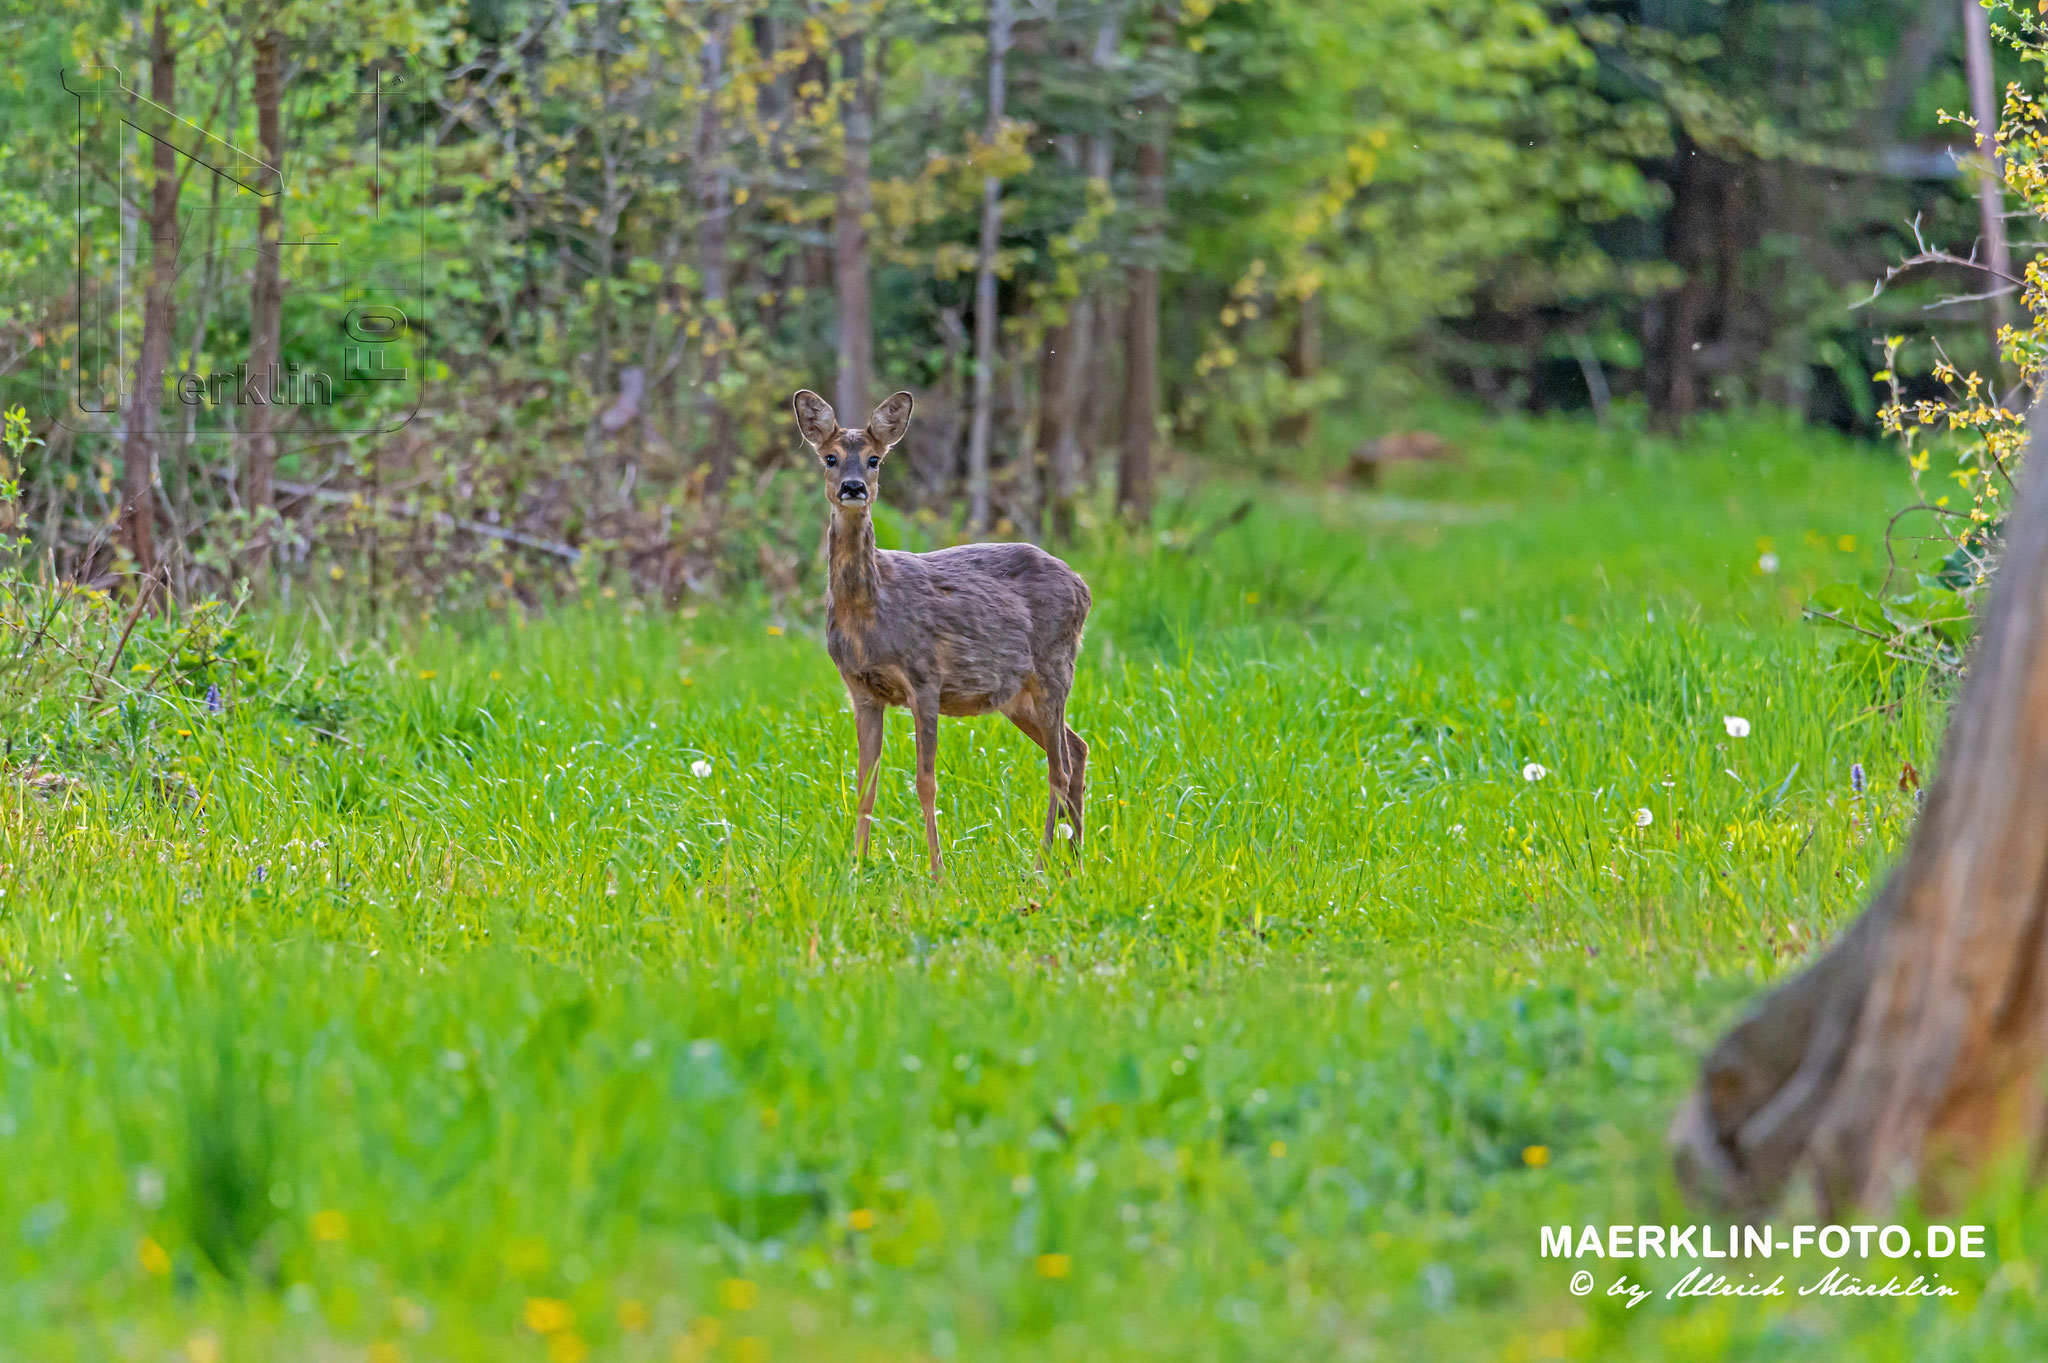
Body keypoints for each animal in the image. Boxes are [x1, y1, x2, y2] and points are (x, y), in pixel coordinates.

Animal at [790, 384, 1097, 871]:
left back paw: (1044, 862)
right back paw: (1075, 860)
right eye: (830, 457)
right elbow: (865, 784)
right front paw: (856, 866)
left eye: (875, 459)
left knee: (1059, 767)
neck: (872, 614)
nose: (853, 488)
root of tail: (1083, 586)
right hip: (1015, 695)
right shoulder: (861, 691)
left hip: (1055, 667)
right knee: (1077, 749)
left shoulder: (925, 678)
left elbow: (925, 781)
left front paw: (937, 871)